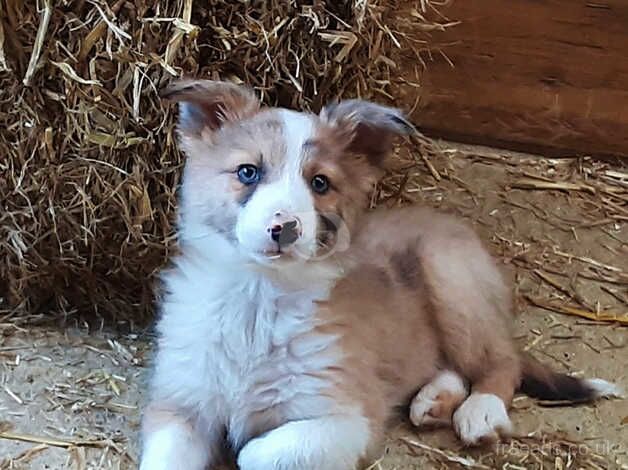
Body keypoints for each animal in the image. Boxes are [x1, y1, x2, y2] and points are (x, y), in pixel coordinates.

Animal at [140, 81, 620, 470]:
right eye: (247, 172)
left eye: (319, 183)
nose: (285, 228)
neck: (257, 298)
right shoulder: (179, 406)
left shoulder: (346, 418)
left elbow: (259, 452)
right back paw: (433, 400)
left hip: (450, 278)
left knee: (501, 361)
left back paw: (479, 412)